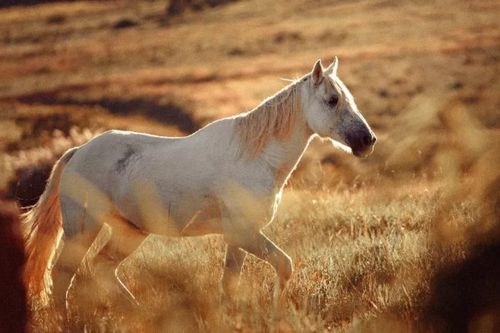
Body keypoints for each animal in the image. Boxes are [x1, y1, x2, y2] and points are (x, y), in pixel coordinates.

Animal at [23, 59, 376, 312]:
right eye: (332, 100)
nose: (367, 141)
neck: (253, 157)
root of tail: (78, 152)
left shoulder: (238, 238)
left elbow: (230, 283)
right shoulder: (244, 233)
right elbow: (284, 265)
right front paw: (277, 311)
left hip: (129, 232)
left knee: (101, 270)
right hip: (83, 229)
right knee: (62, 276)